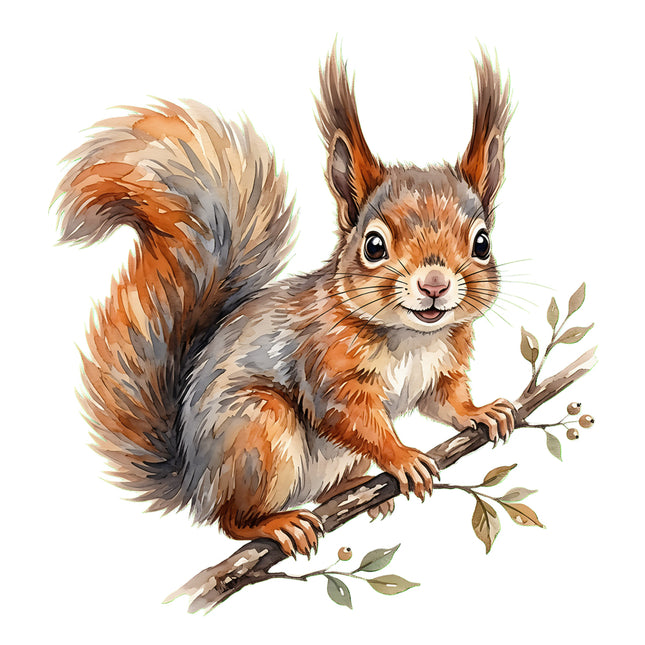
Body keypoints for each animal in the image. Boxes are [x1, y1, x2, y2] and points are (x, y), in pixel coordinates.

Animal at [55, 48, 514, 557]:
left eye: (482, 244)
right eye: (374, 245)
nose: (435, 284)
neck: (414, 337)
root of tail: (195, 482)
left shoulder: (442, 368)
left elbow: (446, 401)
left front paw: (481, 412)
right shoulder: (324, 365)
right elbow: (349, 416)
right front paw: (402, 455)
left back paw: (355, 493)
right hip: (259, 432)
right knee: (230, 520)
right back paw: (277, 525)